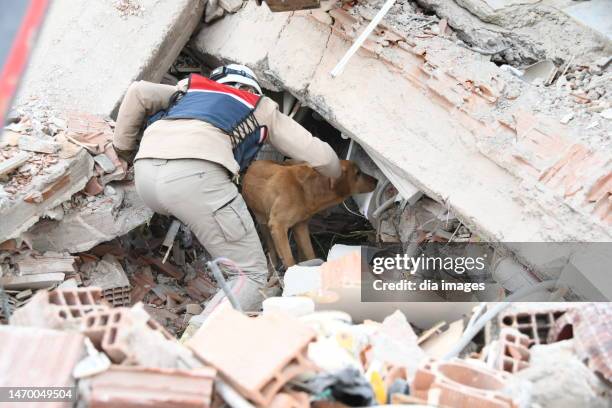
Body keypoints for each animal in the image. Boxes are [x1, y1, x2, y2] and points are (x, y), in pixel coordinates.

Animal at [240, 161, 376, 270]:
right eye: (358, 173)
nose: (377, 180)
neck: (306, 190)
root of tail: (250, 166)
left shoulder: (301, 226)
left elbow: (310, 253)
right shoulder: (278, 226)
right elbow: (289, 260)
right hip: (262, 221)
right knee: (271, 247)